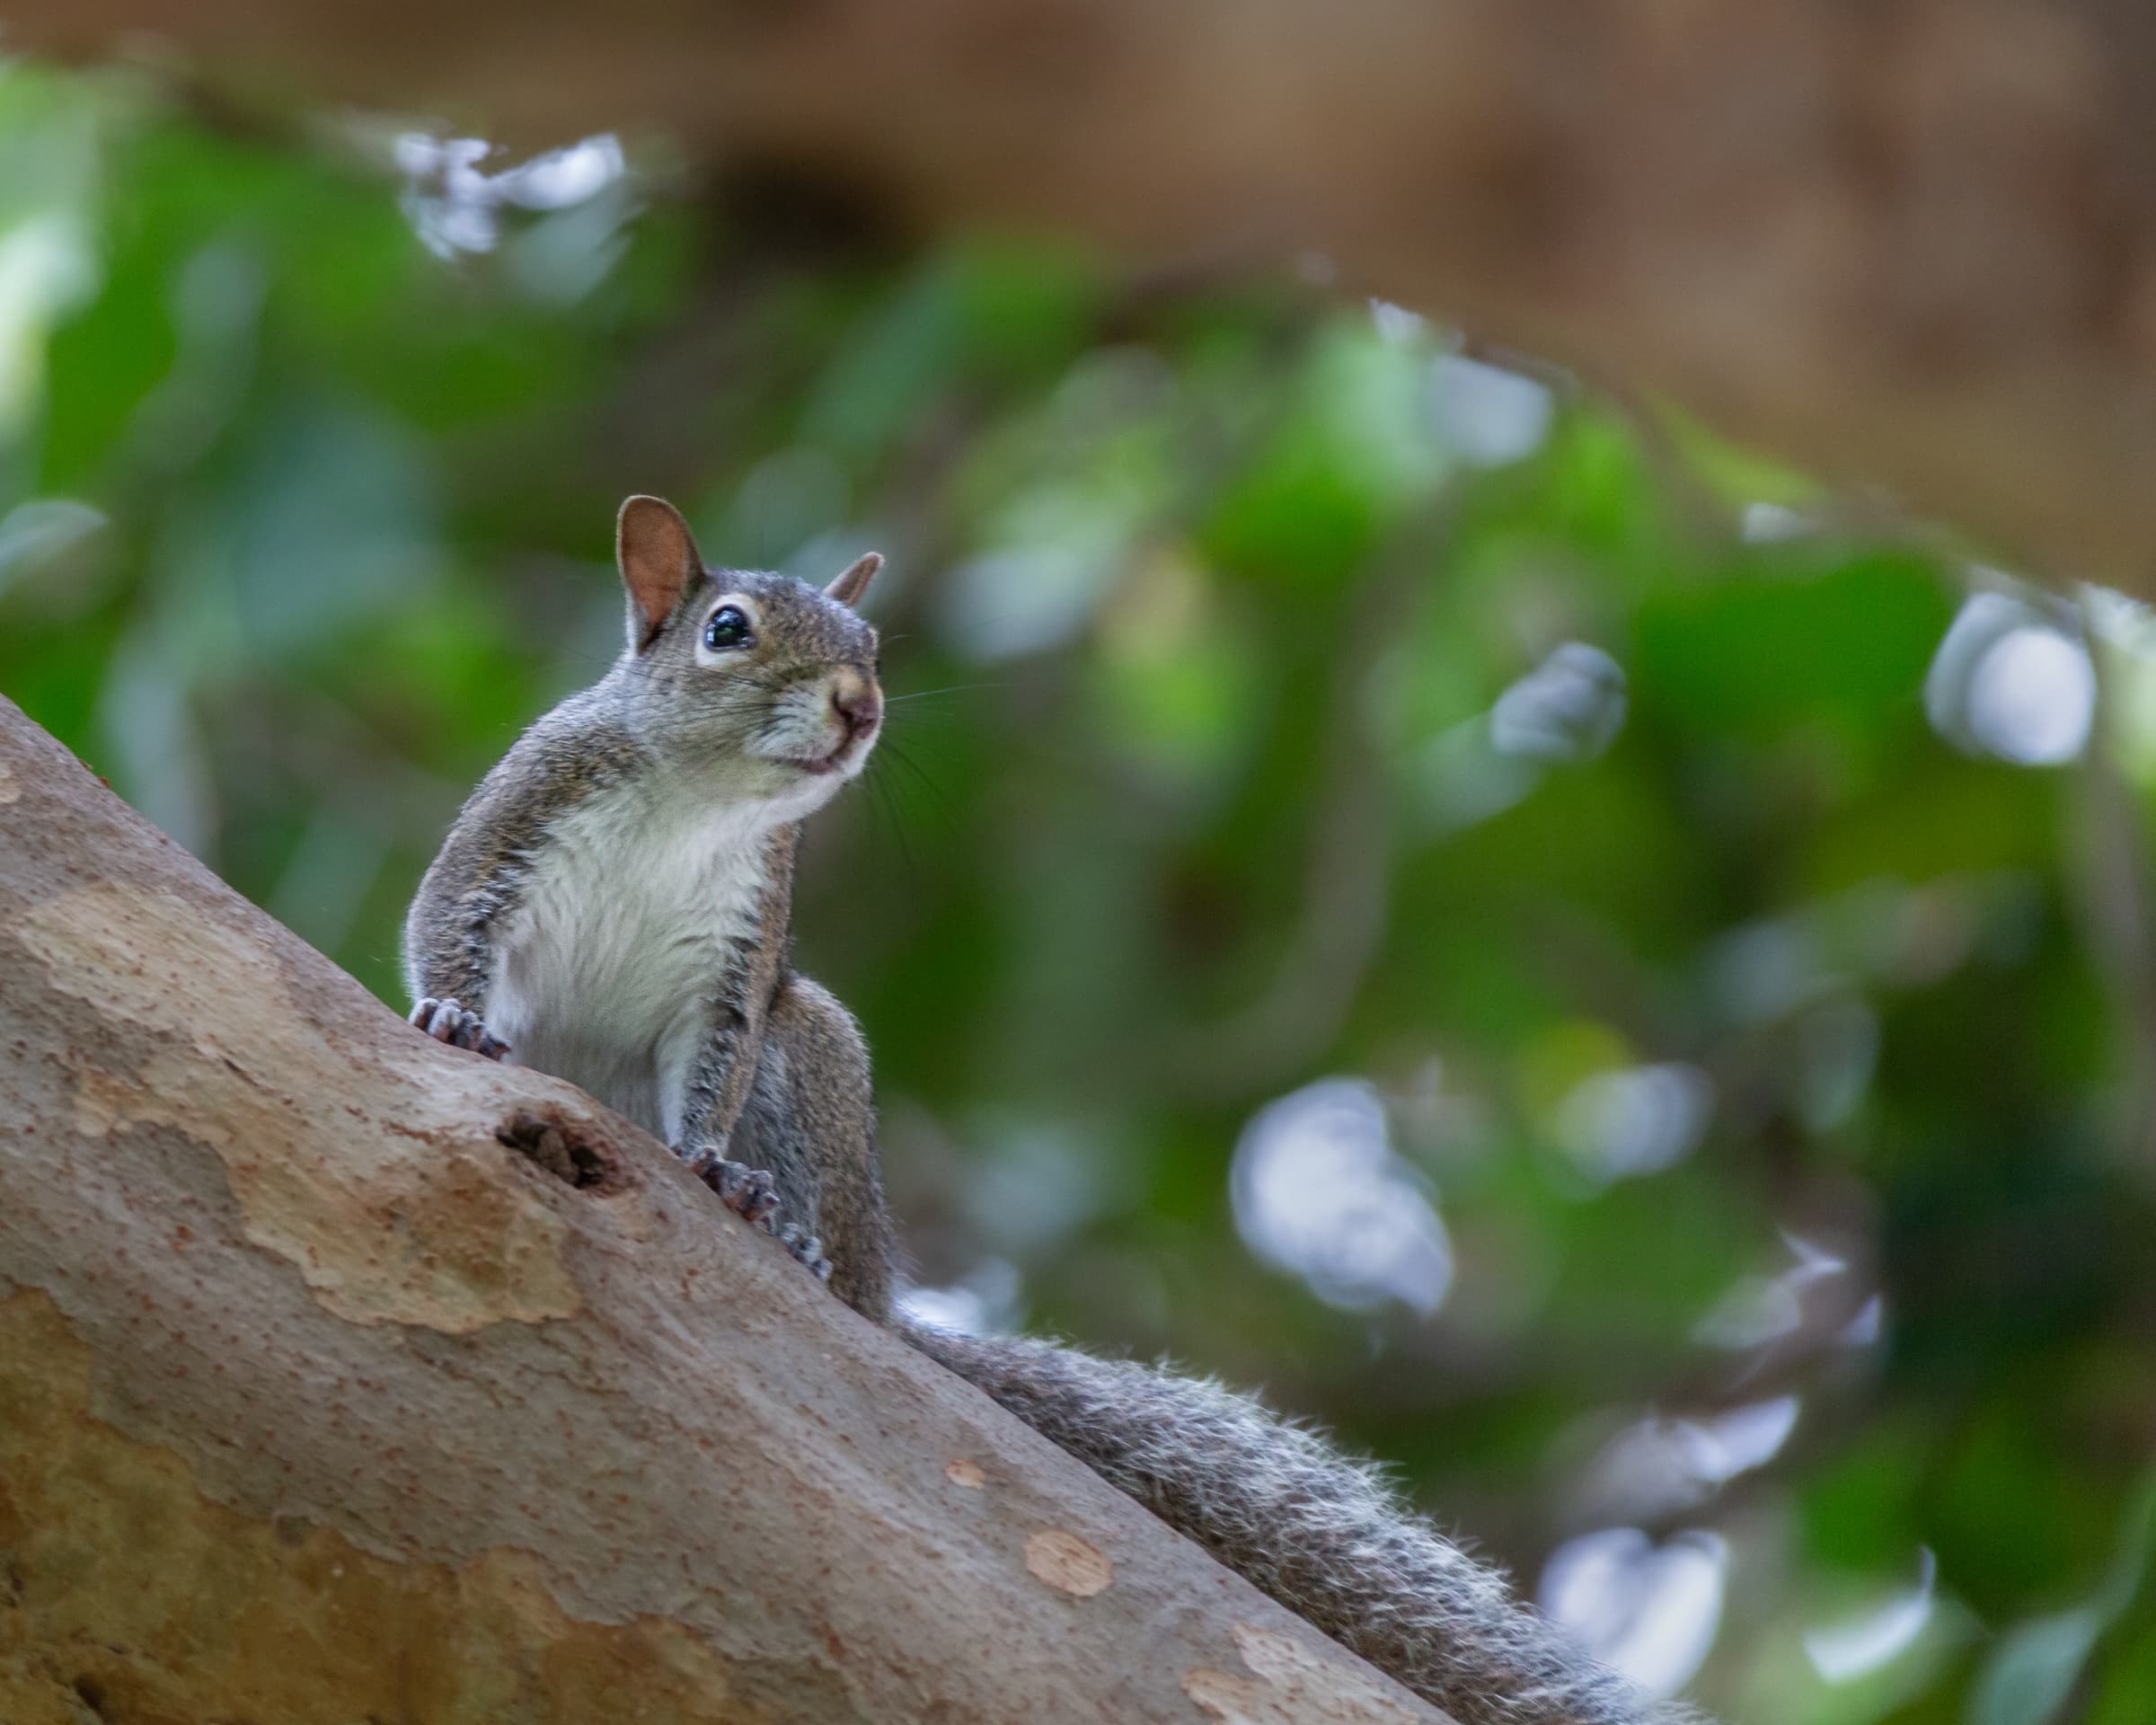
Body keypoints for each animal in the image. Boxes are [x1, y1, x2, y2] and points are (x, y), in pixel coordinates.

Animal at [404, 495, 1692, 1725]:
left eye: (872, 644)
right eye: (727, 630)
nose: (860, 705)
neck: (694, 802)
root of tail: (886, 1300)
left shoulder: (741, 959)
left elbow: (713, 1072)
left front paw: (713, 1165)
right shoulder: (512, 828)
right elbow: (445, 933)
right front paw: (452, 1020)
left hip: (813, 1043)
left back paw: (793, 1236)